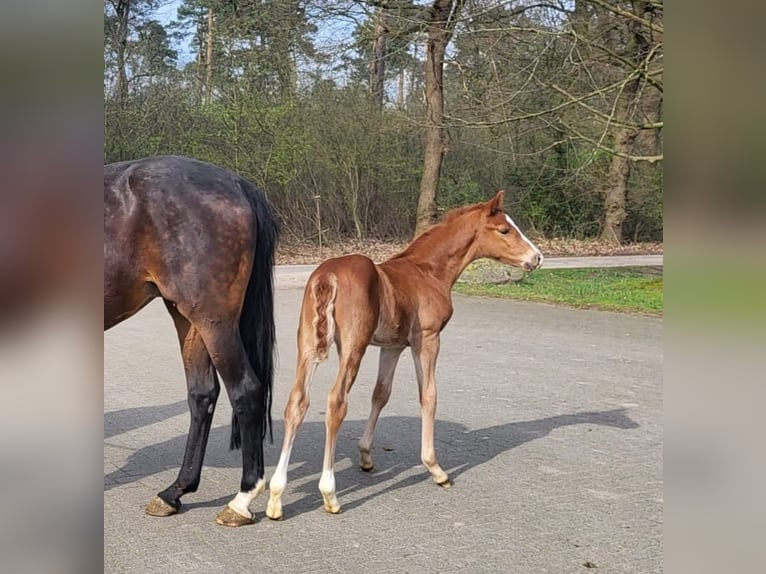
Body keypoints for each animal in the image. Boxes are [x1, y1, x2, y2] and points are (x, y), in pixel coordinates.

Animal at [104, 155, 280, 528]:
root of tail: (235, 183)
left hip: (214, 321)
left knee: (245, 390)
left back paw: (241, 500)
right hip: (189, 319)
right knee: (202, 395)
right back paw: (174, 492)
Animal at [268, 191, 544, 520]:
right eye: (504, 229)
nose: (537, 258)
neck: (428, 271)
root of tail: (328, 275)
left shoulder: (392, 346)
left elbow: (381, 394)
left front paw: (366, 455)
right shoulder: (427, 339)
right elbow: (429, 395)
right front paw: (436, 469)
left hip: (308, 345)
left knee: (296, 402)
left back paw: (275, 496)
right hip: (353, 347)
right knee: (336, 403)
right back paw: (329, 493)